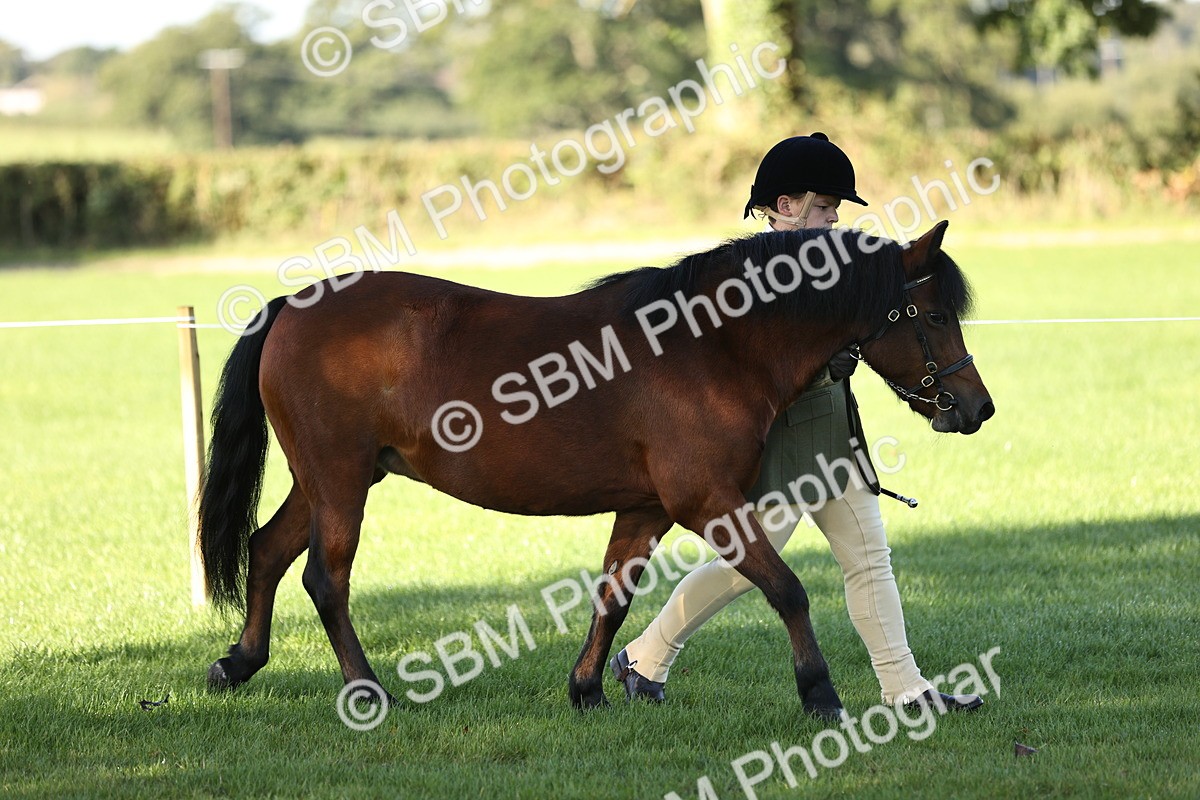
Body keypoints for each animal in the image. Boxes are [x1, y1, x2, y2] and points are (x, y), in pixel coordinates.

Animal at [198, 221, 993, 720]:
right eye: (931, 313)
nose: (976, 406)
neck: (713, 344)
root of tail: (292, 306)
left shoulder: (647, 509)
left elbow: (613, 597)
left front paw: (588, 690)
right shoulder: (707, 502)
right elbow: (789, 591)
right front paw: (820, 695)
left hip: (333, 478)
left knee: (267, 549)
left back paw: (238, 663)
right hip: (339, 479)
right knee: (325, 578)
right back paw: (366, 691)